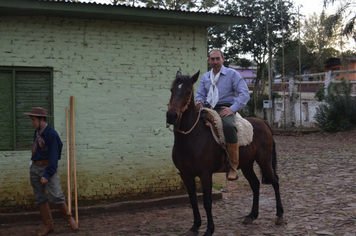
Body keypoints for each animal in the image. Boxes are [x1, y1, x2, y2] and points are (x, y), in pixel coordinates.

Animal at [166, 71, 284, 236]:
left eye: (188, 91)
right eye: (172, 90)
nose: (171, 115)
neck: (192, 137)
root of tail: (263, 123)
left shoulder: (205, 174)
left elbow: (207, 202)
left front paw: (209, 229)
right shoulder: (185, 174)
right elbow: (193, 200)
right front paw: (195, 227)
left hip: (264, 161)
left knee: (275, 181)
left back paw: (279, 215)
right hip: (247, 165)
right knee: (255, 184)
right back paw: (251, 215)